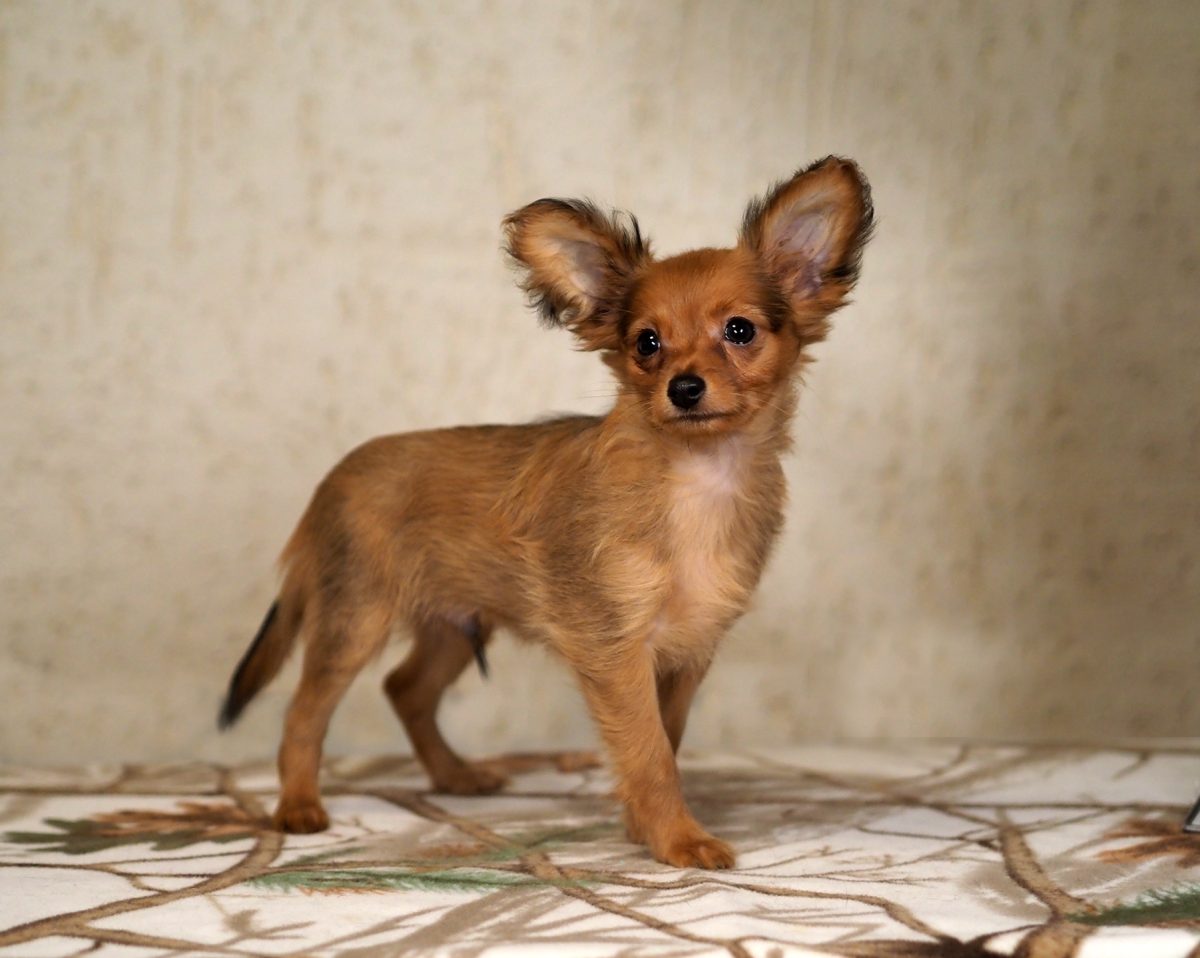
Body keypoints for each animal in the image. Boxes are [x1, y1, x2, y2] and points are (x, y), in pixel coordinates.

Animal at [219, 156, 873, 869]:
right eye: (647, 343)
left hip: (452, 624)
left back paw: (455, 776)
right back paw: (299, 807)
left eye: (740, 331)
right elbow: (649, 753)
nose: (684, 388)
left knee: (405, 688)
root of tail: (328, 485)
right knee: (304, 712)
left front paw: (645, 828)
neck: (696, 478)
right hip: (354, 619)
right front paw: (678, 839)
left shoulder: (686, 653)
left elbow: (665, 741)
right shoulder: (616, 649)